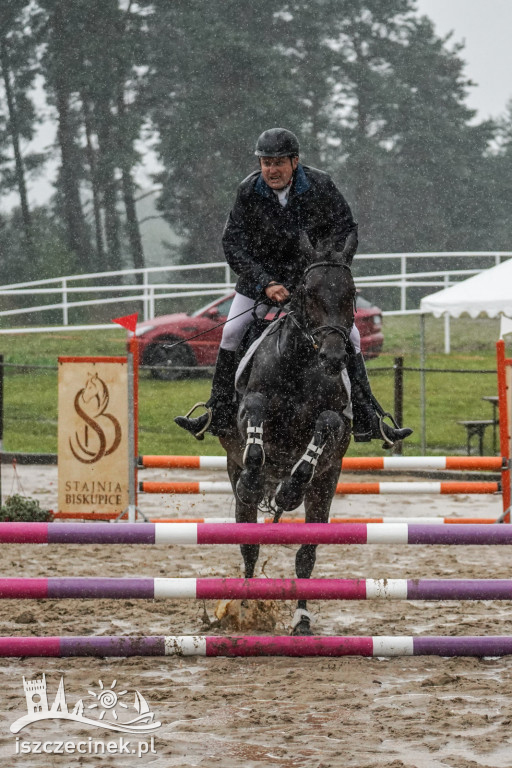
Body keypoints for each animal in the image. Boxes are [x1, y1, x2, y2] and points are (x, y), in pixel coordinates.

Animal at [220, 242, 356, 636]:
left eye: (352, 294)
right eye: (307, 292)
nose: (333, 357)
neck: (299, 363)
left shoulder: (337, 423)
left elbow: (326, 424)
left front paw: (289, 491)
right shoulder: (248, 405)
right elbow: (255, 417)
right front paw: (254, 479)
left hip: (326, 487)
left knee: (306, 554)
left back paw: (302, 619)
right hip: (233, 475)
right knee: (249, 546)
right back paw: (245, 607)